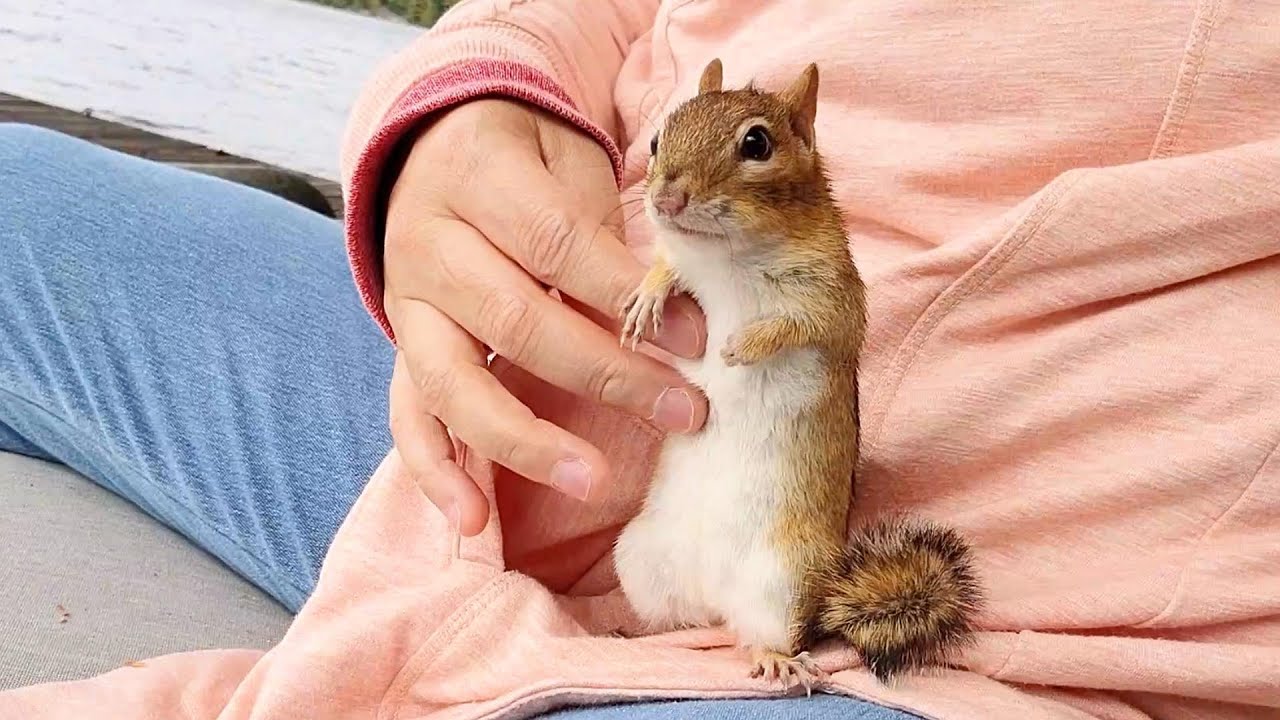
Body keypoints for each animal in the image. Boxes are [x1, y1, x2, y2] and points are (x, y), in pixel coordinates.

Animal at [614, 58, 983, 692]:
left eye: (756, 144)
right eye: (659, 138)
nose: (666, 198)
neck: (727, 256)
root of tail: (714, 593)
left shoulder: (836, 300)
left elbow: (799, 326)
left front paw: (743, 345)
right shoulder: (687, 260)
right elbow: (666, 266)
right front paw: (647, 296)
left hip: (783, 579)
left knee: (763, 632)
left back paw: (776, 658)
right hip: (639, 559)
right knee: (683, 621)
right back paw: (632, 632)